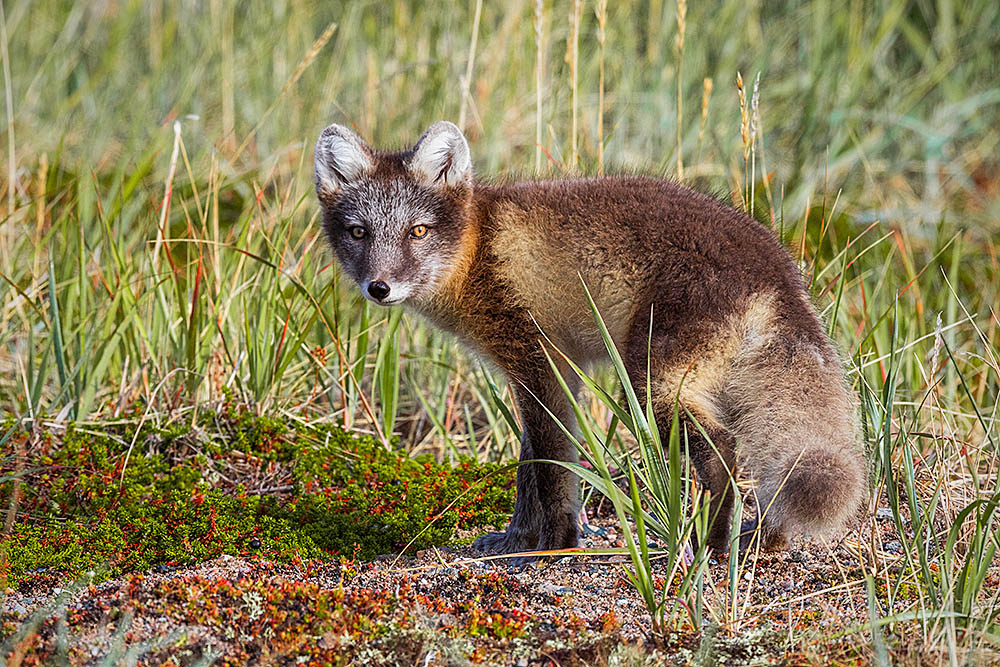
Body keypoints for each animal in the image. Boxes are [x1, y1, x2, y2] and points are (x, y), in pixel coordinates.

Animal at [314, 121, 868, 560]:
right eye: (359, 232)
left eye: (418, 231)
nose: (379, 287)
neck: (477, 251)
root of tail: (777, 267)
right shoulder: (561, 371)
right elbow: (531, 467)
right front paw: (517, 540)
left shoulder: (538, 361)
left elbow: (550, 468)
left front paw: (553, 547)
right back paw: (763, 540)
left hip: (650, 387)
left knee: (723, 452)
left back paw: (711, 545)